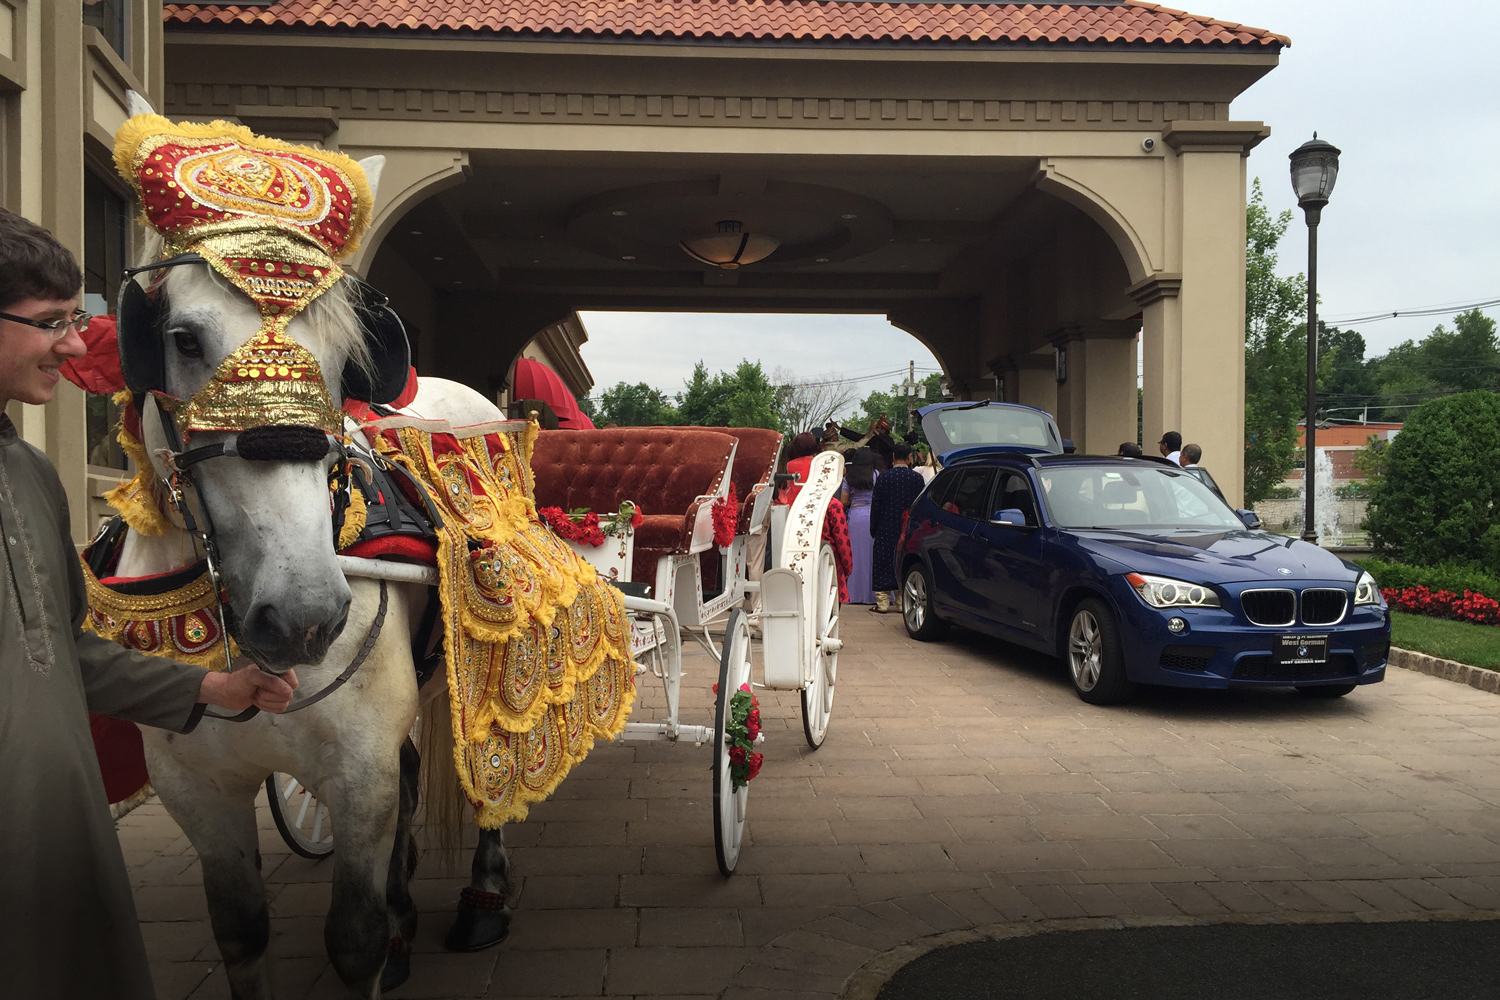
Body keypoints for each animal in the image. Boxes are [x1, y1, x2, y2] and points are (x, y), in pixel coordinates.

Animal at [118, 209, 516, 995]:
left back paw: (483, 895)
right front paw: (393, 917)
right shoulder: (195, 790)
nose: (302, 614)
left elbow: (354, 939)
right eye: (183, 339)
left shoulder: (359, 774)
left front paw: (382, 931)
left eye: (341, 361)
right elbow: (242, 932)